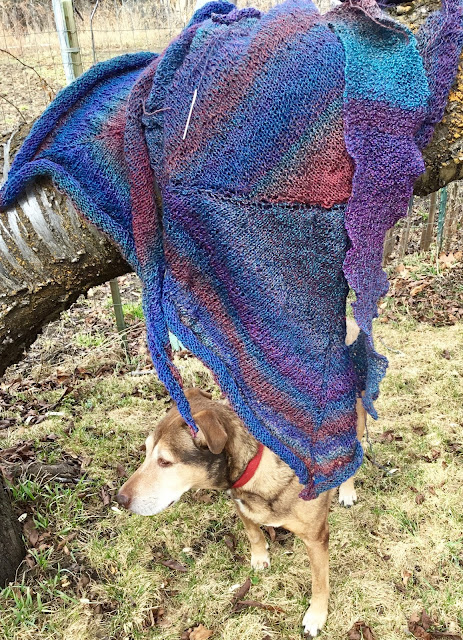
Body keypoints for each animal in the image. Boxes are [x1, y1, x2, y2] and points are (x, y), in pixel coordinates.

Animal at [116, 319, 366, 637]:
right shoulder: (241, 503)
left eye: (165, 462)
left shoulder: (317, 539)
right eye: (146, 451)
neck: (255, 462)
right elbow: (253, 532)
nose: (120, 499)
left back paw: (346, 490)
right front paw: (259, 557)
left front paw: (316, 615)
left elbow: (320, 583)